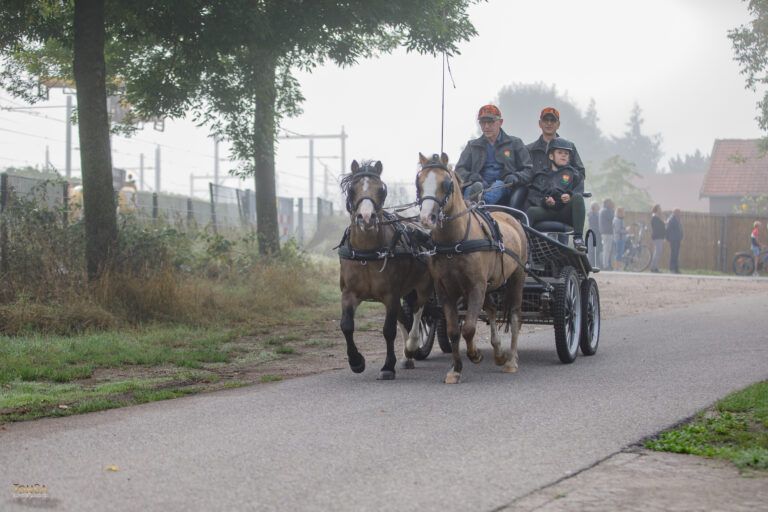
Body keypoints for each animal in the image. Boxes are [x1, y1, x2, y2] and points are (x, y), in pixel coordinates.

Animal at [336, 160, 432, 380]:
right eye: (352, 189)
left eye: (381, 190)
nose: (366, 217)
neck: (367, 253)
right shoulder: (349, 293)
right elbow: (346, 326)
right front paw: (356, 362)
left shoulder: (391, 294)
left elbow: (388, 330)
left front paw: (388, 366)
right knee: (404, 318)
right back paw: (407, 357)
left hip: (422, 287)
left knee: (417, 312)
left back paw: (412, 345)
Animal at [416, 152, 524, 384]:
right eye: (419, 183)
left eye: (446, 184)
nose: (427, 218)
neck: (454, 242)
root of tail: (511, 218)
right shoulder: (445, 291)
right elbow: (453, 331)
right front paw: (455, 370)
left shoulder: (475, 287)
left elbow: (469, 328)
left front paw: (475, 355)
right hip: (489, 285)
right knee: (492, 309)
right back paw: (499, 354)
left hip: (517, 278)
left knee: (514, 316)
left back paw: (511, 361)